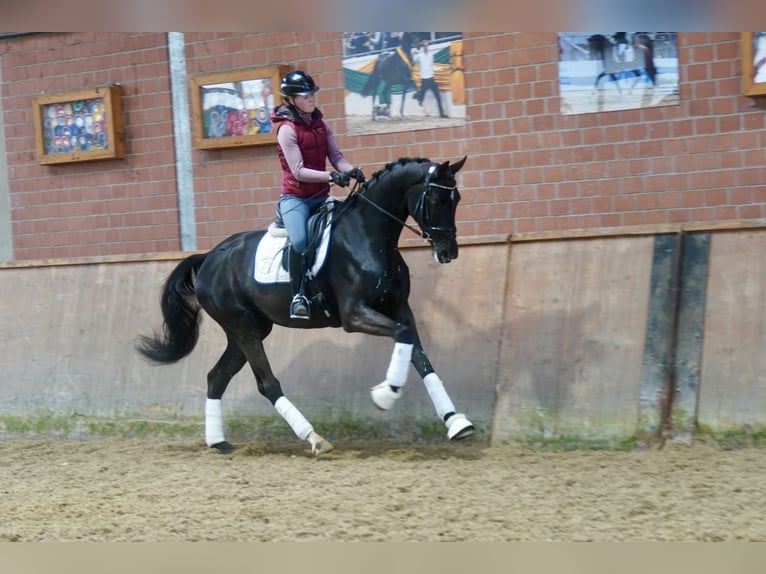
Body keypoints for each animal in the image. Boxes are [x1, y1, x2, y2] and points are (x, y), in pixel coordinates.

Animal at [138, 155, 474, 456]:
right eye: (436, 200)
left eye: (456, 198)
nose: (448, 252)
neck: (369, 235)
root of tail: (209, 257)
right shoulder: (355, 315)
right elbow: (404, 338)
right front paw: (385, 394)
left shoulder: (400, 309)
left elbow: (418, 354)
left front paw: (456, 422)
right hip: (243, 328)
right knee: (267, 384)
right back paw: (314, 438)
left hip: (248, 330)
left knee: (217, 377)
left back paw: (218, 442)